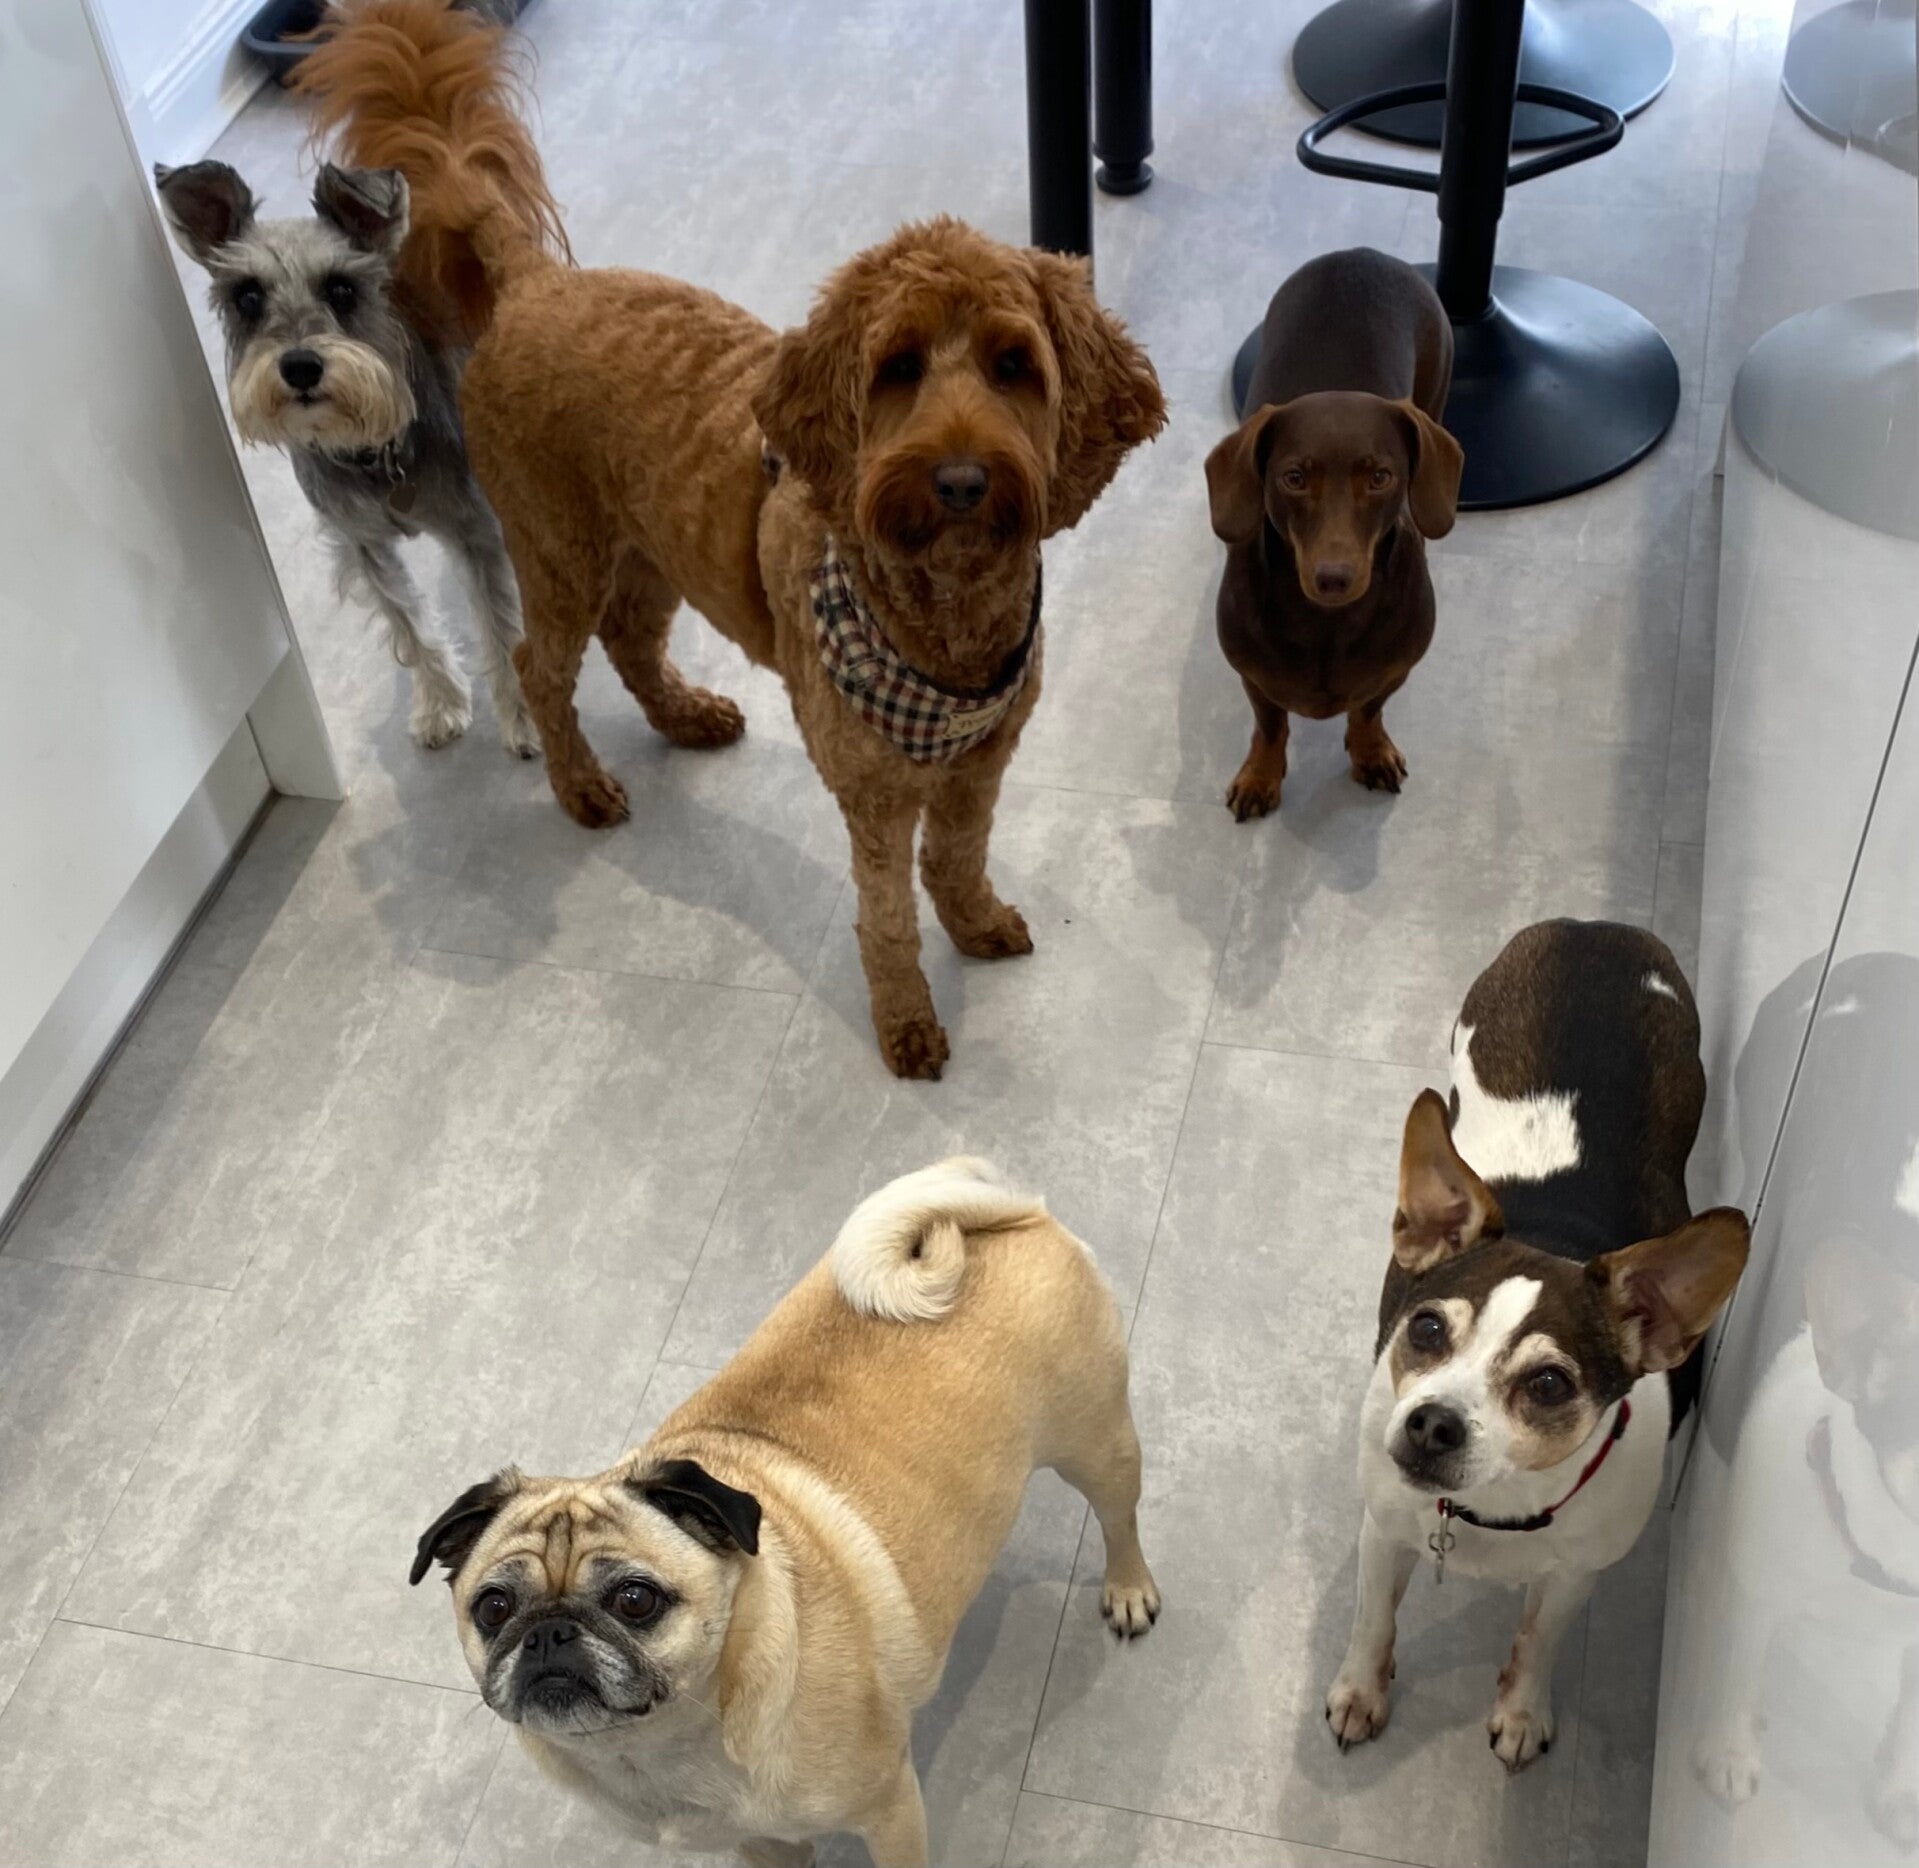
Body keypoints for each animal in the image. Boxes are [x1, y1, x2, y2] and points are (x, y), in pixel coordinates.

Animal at [155, 156, 547, 754]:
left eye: (341, 288)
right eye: (247, 297)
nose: (299, 366)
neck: (373, 451)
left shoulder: (473, 531)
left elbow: (501, 627)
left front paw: (525, 721)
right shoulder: (363, 546)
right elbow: (408, 623)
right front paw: (440, 705)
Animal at [296, 0, 1165, 1079]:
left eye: (1014, 365)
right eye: (897, 366)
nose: (960, 480)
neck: (939, 624)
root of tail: (533, 282)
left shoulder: (980, 763)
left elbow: (957, 860)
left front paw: (973, 921)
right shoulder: (876, 795)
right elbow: (886, 915)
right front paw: (906, 1021)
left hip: (657, 547)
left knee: (630, 641)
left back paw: (683, 717)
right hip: (559, 547)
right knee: (539, 666)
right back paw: (581, 786)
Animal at [409, 1159, 1159, 1867]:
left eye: (634, 1600)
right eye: (493, 1608)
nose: (549, 1634)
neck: (658, 1747)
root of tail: (1001, 1220)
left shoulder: (890, 1810)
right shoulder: (767, 1842)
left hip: (1097, 1444)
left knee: (1118, 1519)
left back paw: (1128, 1591)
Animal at [1205, 248, 1461, 820]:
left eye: (1381, 476)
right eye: (1294, 478)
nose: (1333, 578)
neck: (1326, 624)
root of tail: (1363, 254)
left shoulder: (1395, 670)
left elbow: (1367, 710)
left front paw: (1371, 752)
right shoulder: (1253, 677)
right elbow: (1270, 727)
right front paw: (1260, 776)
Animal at [1326, 920, 1749, 1771]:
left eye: (1549, 1384)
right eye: (1426, 1329)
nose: (1431, 1422)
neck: (1490, 1511)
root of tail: (1597, 929)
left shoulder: (1578, 1573)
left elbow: (1537, 1638)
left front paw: (1522, 1711)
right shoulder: (1382, 1530)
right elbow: (1371, 1621)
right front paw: (1360, 1691)